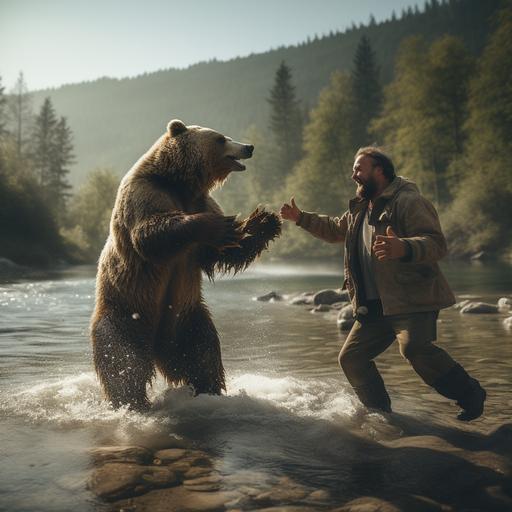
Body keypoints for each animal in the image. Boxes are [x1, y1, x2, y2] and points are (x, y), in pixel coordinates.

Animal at [92, 118, 284, 410]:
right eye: (221, 138)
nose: (248, 147)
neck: (181, 183)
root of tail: (156, 345)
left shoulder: (202, 201)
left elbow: (222, 254)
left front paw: (265, 220)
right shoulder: (146, 193)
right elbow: (151, 233)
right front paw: (220, 225)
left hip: (185, 317)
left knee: (201, 354)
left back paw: (209, 390)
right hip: (125, 312)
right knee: (124, 362)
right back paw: (132, 401)